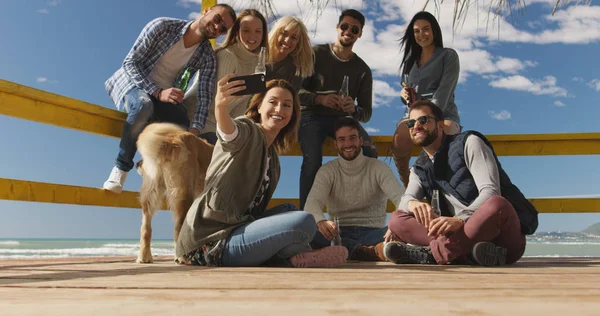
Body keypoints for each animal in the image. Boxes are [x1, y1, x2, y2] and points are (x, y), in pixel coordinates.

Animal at [135, 122, 213, 262]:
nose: (136, 164)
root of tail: (169, 141)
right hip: (184, 192)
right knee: (178, 228)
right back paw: (182, 258)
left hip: (151, 191)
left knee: (146, 228)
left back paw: (144, 256)